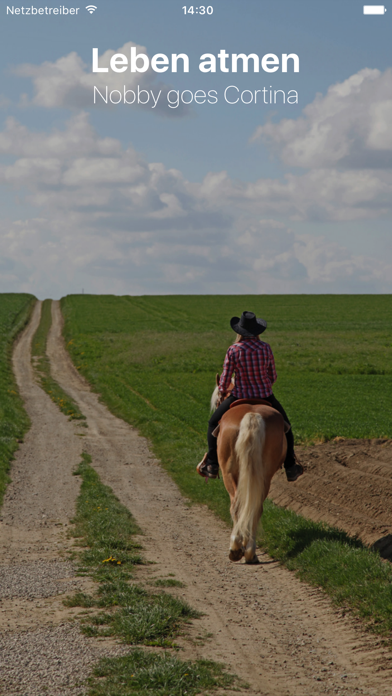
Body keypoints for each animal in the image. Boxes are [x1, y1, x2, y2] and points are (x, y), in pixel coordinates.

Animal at [211, 376, 288, 564]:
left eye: (217, 400)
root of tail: (252, 415)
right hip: (265, 476)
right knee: (255, 507)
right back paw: (250, 551)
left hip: (228, 472)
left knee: (236, 505)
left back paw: (237, 548)